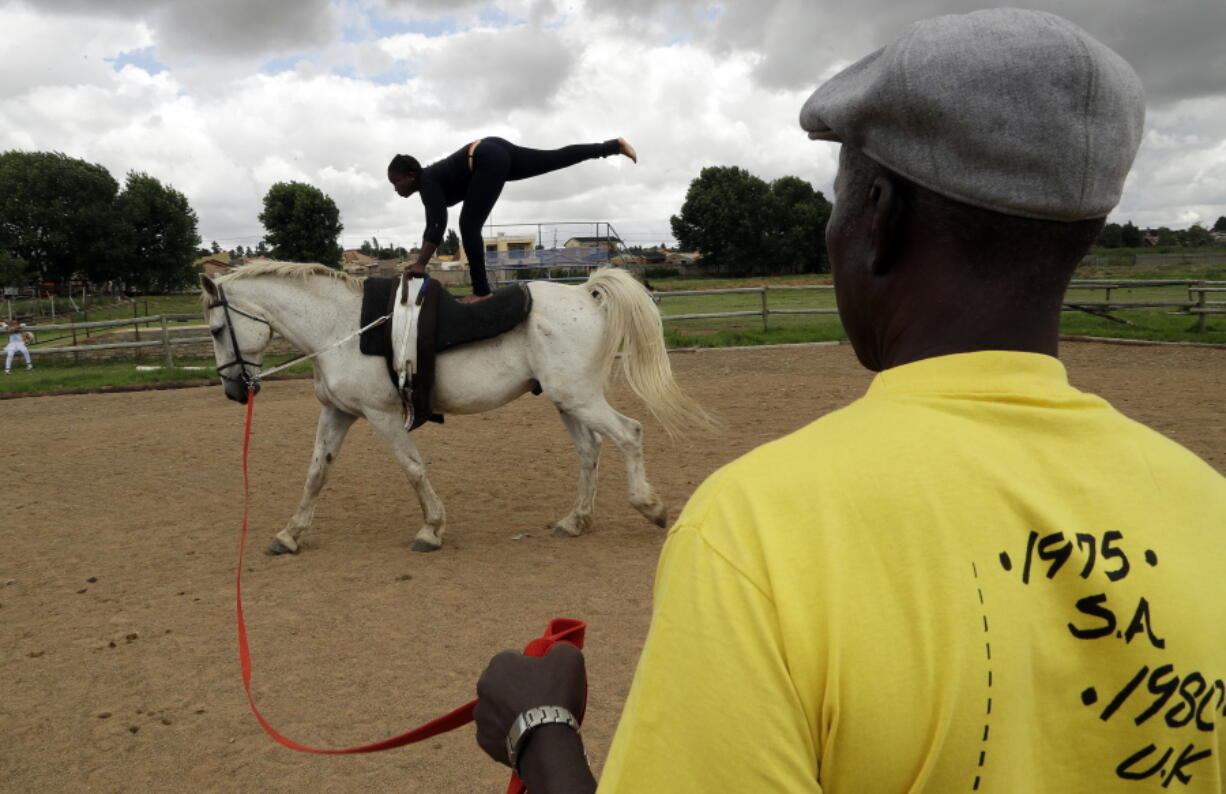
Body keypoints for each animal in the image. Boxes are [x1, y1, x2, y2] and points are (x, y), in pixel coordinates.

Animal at [199, 260, 711, 551]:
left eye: (217, 329)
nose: (233, 390)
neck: (342, 327)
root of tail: (586, 292)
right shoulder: (338, 412)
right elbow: (316, 472)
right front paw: (290, 534)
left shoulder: (383, 416)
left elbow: (412, 468)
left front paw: (431, 529)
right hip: (568, 401)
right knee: (591, 452)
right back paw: (575, 521)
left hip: (579, 397)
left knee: (629, 433)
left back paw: (650, 507)